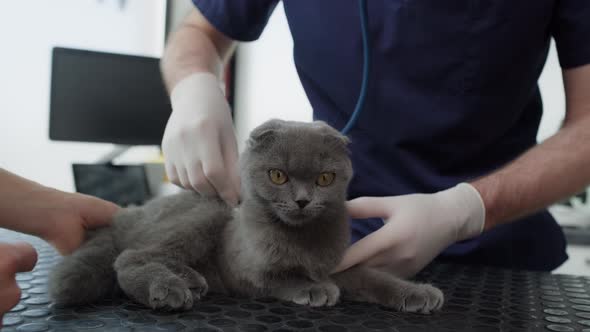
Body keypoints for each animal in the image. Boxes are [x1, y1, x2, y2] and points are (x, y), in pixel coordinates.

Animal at [49, 119, 444, 314]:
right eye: (278, 175)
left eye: (324, 179)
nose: (302, 201)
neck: (302, 239)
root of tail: (129, 214)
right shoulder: (244, 268)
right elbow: (279, 278)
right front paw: (314, 289)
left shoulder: (338, 263)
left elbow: (373, 278)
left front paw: (417, 293)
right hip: (208, 212)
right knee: (130, 257)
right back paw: (168, 288)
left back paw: (190, 279)